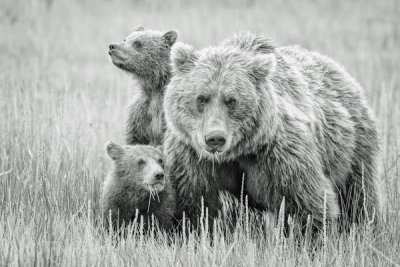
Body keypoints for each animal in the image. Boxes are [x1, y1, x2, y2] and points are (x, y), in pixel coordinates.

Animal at [162, 32, 382, 231]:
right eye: (201, 98)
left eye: (231, 100)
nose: (215, 138)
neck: (238, 152)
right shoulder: (191, 158)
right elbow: (195, 205)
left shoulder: (280, 155)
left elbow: (306, 204)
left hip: (351, 147)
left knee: (357, 192)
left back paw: (364, 226)